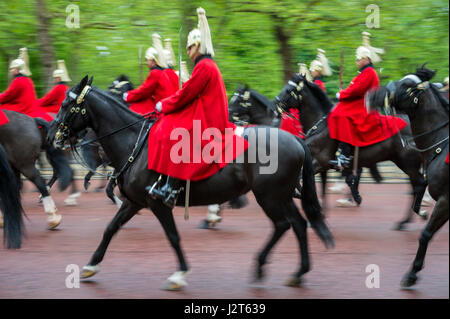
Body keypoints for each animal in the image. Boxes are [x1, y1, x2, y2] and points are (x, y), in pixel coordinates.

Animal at [49, 76, 334, 292]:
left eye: (66, 104)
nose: (52, 134)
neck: (134, 143)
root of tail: (296, 139)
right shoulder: (133, 202)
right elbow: (110, 229)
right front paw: (90, 266)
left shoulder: (157, 203)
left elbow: (173, 237)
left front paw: (179, 275)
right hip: (281, 196)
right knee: (298, 224)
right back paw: (298, 272)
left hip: (270, 197)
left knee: (283, 225)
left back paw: (261, 266)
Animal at [274, 74, 428, 231]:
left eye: (289, 89)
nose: (275, 102)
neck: (320, 125)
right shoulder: (319, 165)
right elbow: (321, 188)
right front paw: (320, 212)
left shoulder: (320, 163)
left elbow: (303, 180)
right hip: (405, 163)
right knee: (415, 186)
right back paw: (408, 219)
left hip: (407, 163)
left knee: (419, 184)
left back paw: (415, 214)